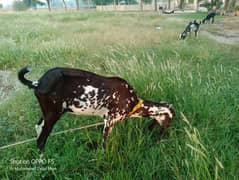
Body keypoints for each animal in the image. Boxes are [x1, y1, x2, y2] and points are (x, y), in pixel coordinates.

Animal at [17, 67, 175, 151]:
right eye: (171, 120)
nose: (164, 138)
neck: (133, 102)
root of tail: (38, 83)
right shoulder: (110, 120)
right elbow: (104, 143)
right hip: (53, 113)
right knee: (41, 139)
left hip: (48, 112)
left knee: (38, 127)